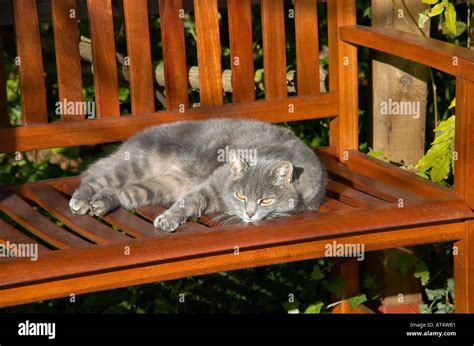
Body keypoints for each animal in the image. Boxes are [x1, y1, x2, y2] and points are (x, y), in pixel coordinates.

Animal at [68, 118, 328, 232]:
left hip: (156, 187)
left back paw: (101, 203)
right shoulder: (211, 184)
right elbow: (188, 201)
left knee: (121, 193)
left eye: (266, 200)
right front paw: (168, 219)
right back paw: (80, 201)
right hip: (135, 165)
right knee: (95, 176)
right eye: (241, 196)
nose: (250, 214)